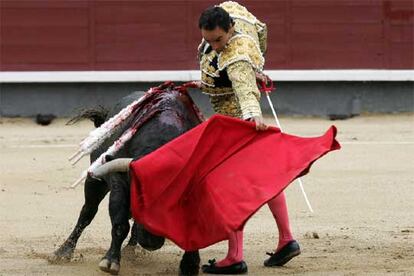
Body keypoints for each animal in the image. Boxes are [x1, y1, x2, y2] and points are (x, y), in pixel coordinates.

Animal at [51, 88, 204, 274]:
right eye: (139, 197)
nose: (151, 242)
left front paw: (190, 265)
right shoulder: (119, 181)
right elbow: (120, 223)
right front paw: (110, 261)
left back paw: (130, 250)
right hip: (95, 181)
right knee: (87, 212)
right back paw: (63, 252)